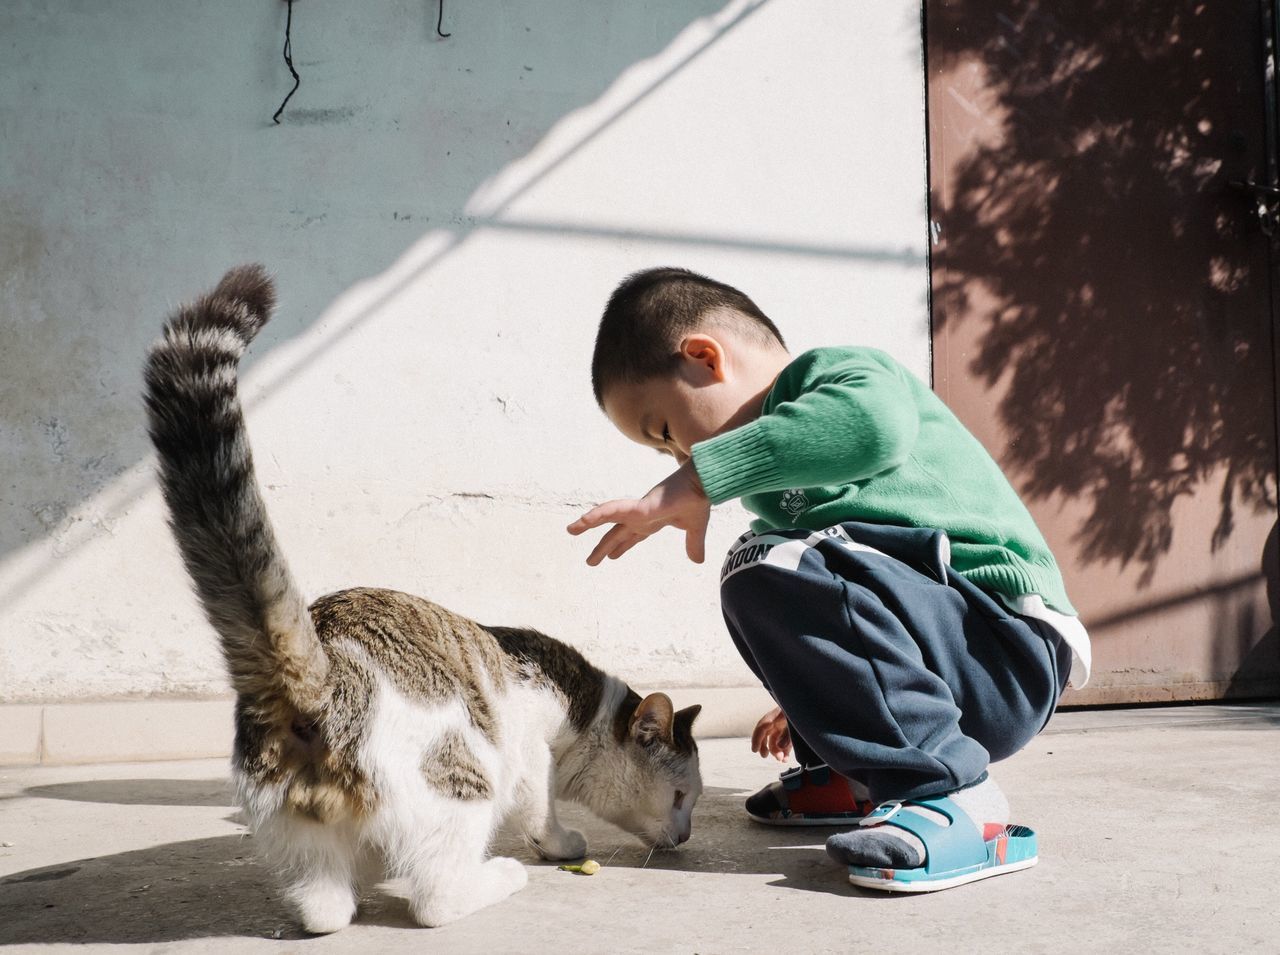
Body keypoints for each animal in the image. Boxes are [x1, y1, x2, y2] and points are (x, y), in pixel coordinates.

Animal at [145, 266, 706, 931]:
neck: (585, 711)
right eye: (681, 796)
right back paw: (498, 878)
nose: (686, 836)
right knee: (436, 898)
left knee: (324, 908)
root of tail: (321, 679)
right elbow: (539, 811)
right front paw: (560, 844)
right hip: (463, 780)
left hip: (296, 832)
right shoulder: (530, 754)